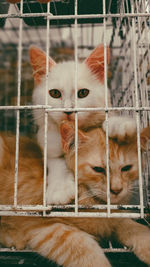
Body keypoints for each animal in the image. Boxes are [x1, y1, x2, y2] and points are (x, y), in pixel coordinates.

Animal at [0, 124, 150, 267]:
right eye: (98, 169)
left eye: (126, 168)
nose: (117, 190)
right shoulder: (41, 225)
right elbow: (86, 251)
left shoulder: (112, 219)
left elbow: (134, 227)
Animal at [28, 45, 137, 204]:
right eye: (54, 93)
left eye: (83, 93)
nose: (68, 110)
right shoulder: (47, 141)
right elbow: (57, 162)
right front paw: (60, 189)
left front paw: (119, 124)